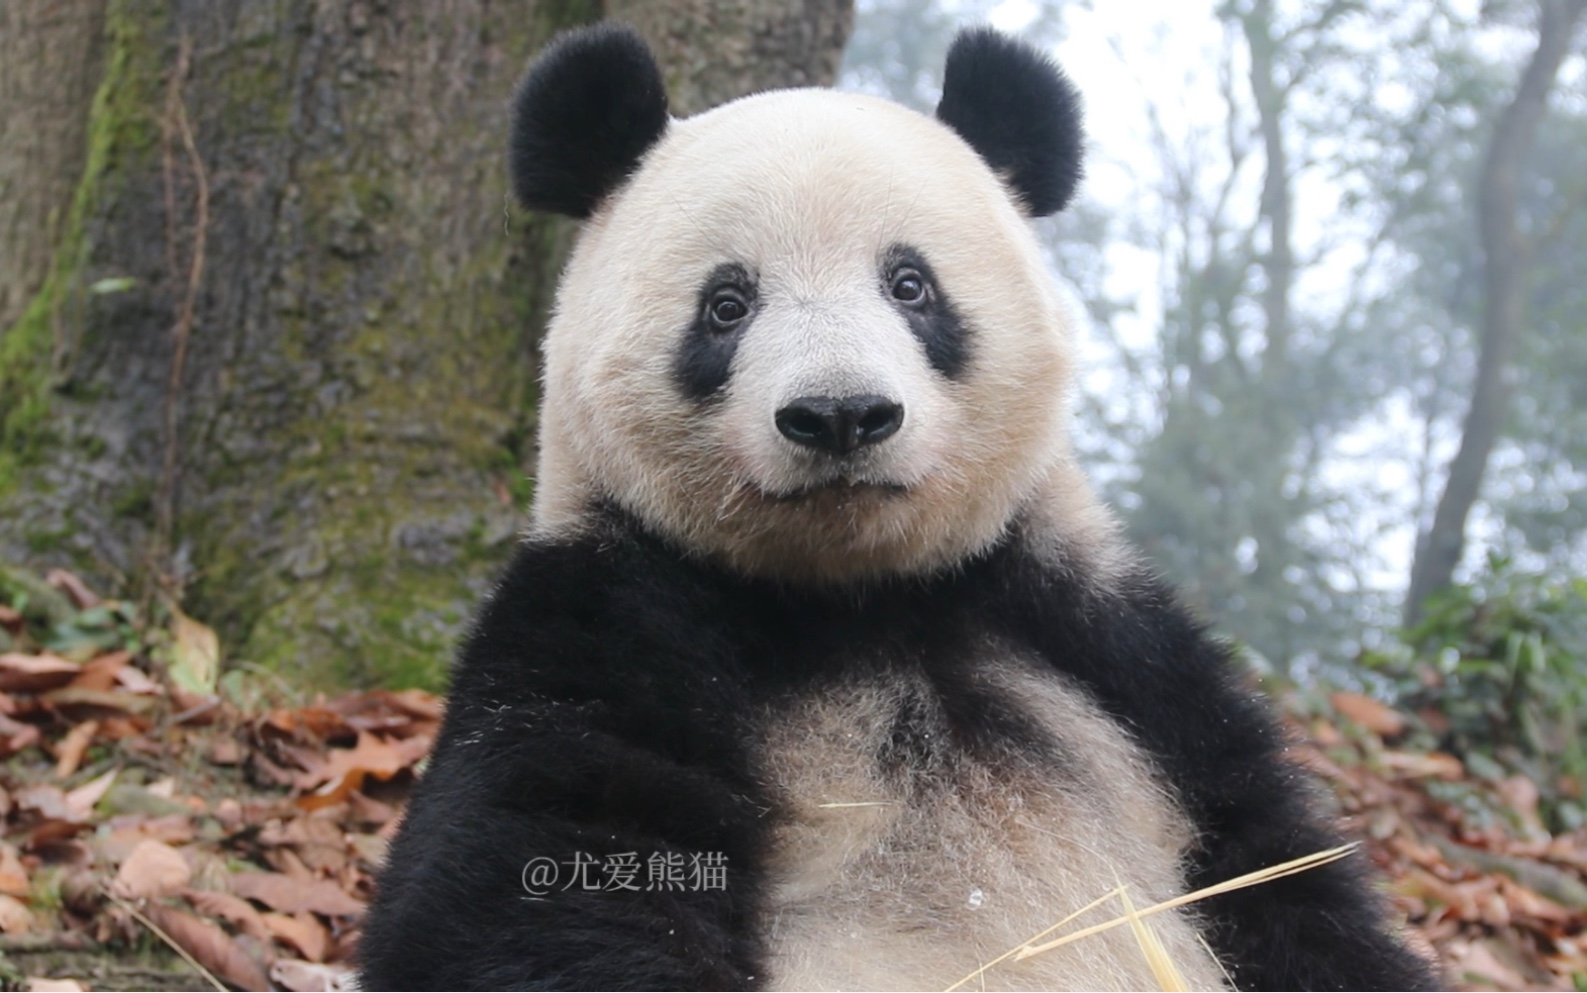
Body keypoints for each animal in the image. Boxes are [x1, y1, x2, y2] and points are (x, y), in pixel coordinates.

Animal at [357, 23, 1440, 989]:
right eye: (727, 304)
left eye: (910, 284)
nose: (840, 414)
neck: (862, 596)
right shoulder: (604, 615)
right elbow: (541, 877)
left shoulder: (1109, 646)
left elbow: (1275, 864)